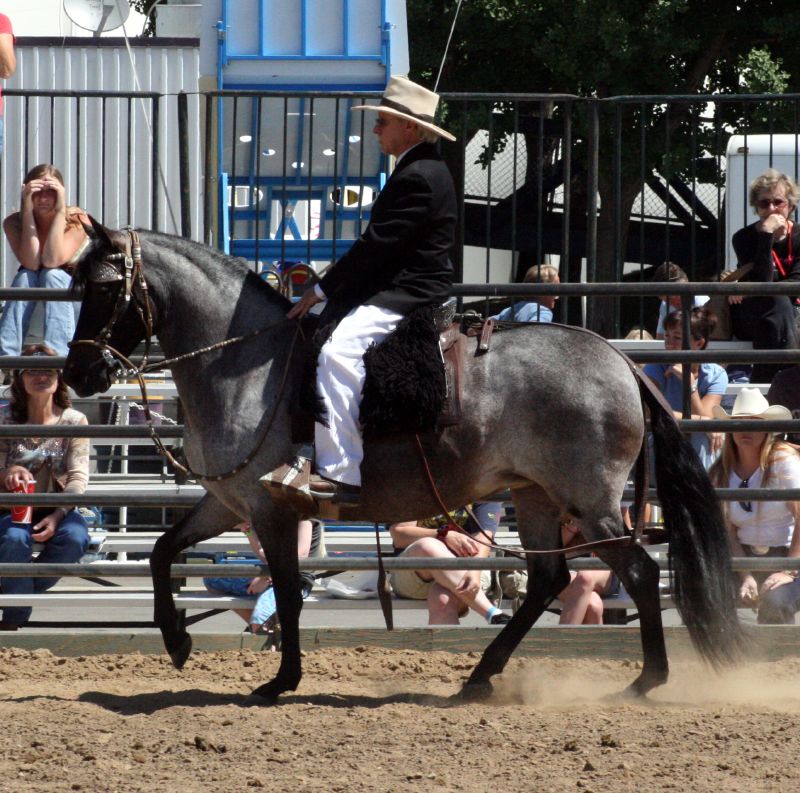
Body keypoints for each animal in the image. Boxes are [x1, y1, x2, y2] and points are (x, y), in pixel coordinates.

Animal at [62, 221, 744, 700]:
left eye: (104, 287)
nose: (78, 374)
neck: (247, 363)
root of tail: (621, 359)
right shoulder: (229, 501)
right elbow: (162, 551)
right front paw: (177, 639)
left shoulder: (272, 509)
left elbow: (287, 592)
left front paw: (281, 681)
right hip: (534, 496)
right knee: (549, 580)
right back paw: (481, 675)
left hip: (590, 502)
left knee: (640, 573)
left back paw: (645, 680)